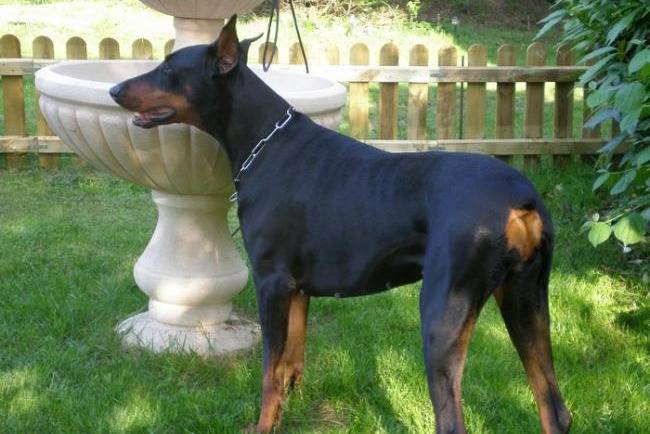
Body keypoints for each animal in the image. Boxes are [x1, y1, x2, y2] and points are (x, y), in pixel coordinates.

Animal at [109, 16, 572, 434]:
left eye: (168, 68)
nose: (114, 89)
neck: (263, 142)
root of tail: (522, 198)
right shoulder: (297, 288)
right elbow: (289, 366)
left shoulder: (271, 282)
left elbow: (268, 374)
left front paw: (261, 426)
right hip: (525, 296)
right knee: (554, 408)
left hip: (444, 309)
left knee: (452, 419)